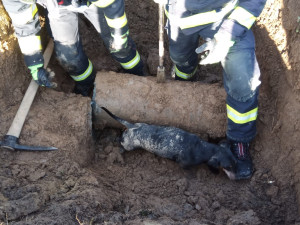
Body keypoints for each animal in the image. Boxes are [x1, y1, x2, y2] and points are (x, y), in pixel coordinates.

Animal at [102, 107, 238, 179]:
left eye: (235, 162)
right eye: (228, 166)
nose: (238, 178)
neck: (201, 147)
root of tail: (134, 126)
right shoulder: (184, 163)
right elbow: (188, 170)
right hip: (129, 144)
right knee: (122, 141)